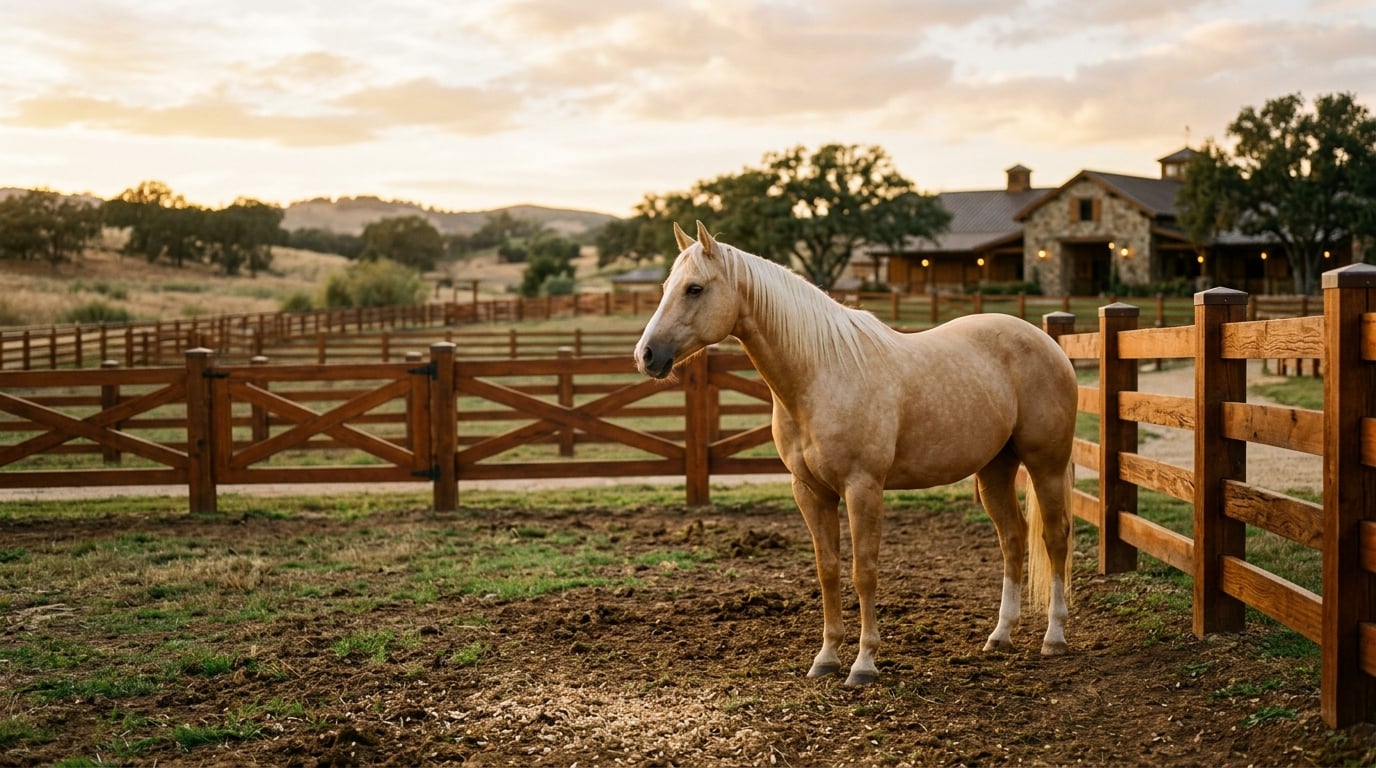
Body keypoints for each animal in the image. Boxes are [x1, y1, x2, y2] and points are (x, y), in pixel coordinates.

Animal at [634, 221, 1079, 686]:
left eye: (695, 289)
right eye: (666, 287)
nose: (646, 355)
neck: (820, 374)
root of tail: (1050, 344)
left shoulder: (862, 488)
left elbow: (863, 571)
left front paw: (864, 663)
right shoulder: (810, 491)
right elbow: (828, 569)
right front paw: (826, 658)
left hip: (1045, 465)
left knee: (1055, 537)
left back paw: (1054, 637)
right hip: (994, 469)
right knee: (1012, 537)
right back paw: (1000, 635)